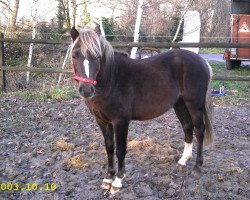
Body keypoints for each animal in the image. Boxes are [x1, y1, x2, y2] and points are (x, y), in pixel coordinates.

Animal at [70, 25, 213, 195]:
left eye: (97, 56)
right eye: (74, 55)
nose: (86, 90)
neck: (112, 79)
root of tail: (202, 61)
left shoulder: (120, 122)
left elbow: (120, 150)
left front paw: (117, 181)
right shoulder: (102, 121)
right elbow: (109, 148)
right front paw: (108, 178)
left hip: (194, 105)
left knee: (199, 130)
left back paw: (197, 167)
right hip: (180, 104)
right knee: (187, 127)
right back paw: (183, 160)